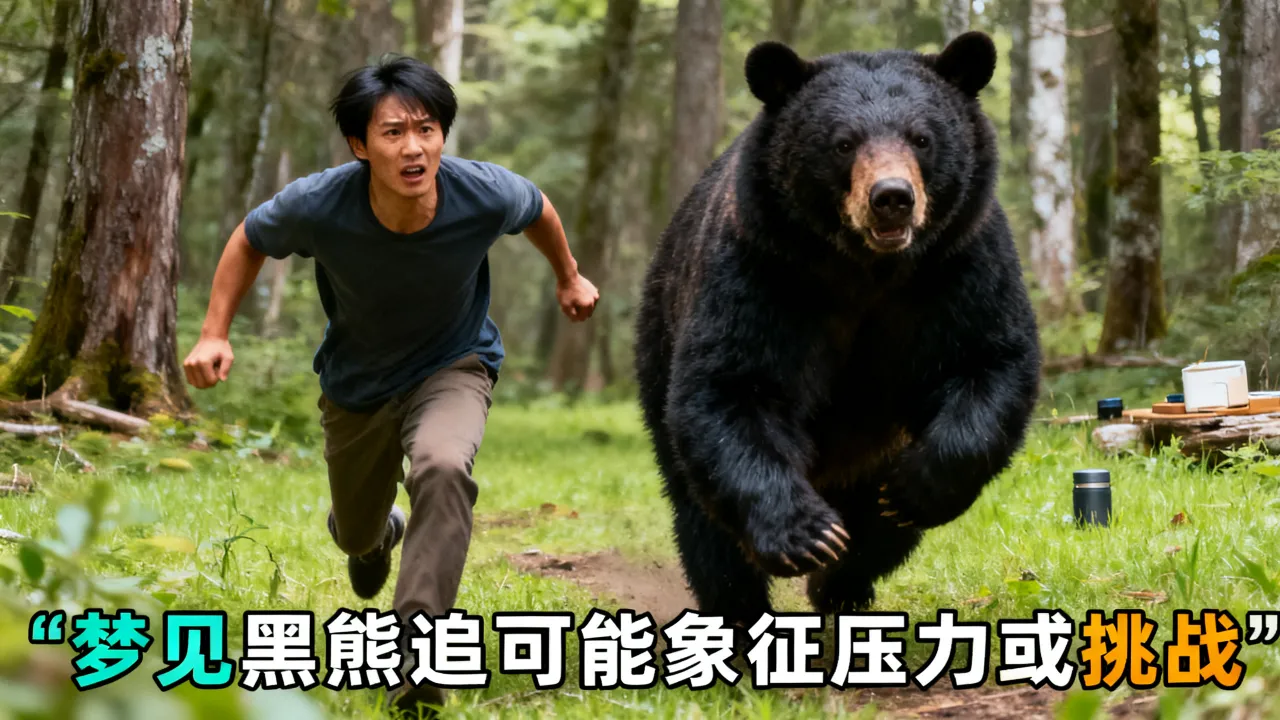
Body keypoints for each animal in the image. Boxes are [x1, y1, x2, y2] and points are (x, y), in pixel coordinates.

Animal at [633, 31, 1041, 626]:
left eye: (921, 137)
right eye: (843, 142)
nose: (892, 197)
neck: (865, 270)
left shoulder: (958, 264)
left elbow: (987, 360)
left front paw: (916, 488)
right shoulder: (765, 268)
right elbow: (734, 386)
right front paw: (807, 535)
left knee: (883, 528)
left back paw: (842, 586)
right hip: (659, 341)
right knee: (699, 512)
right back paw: (739, 609)